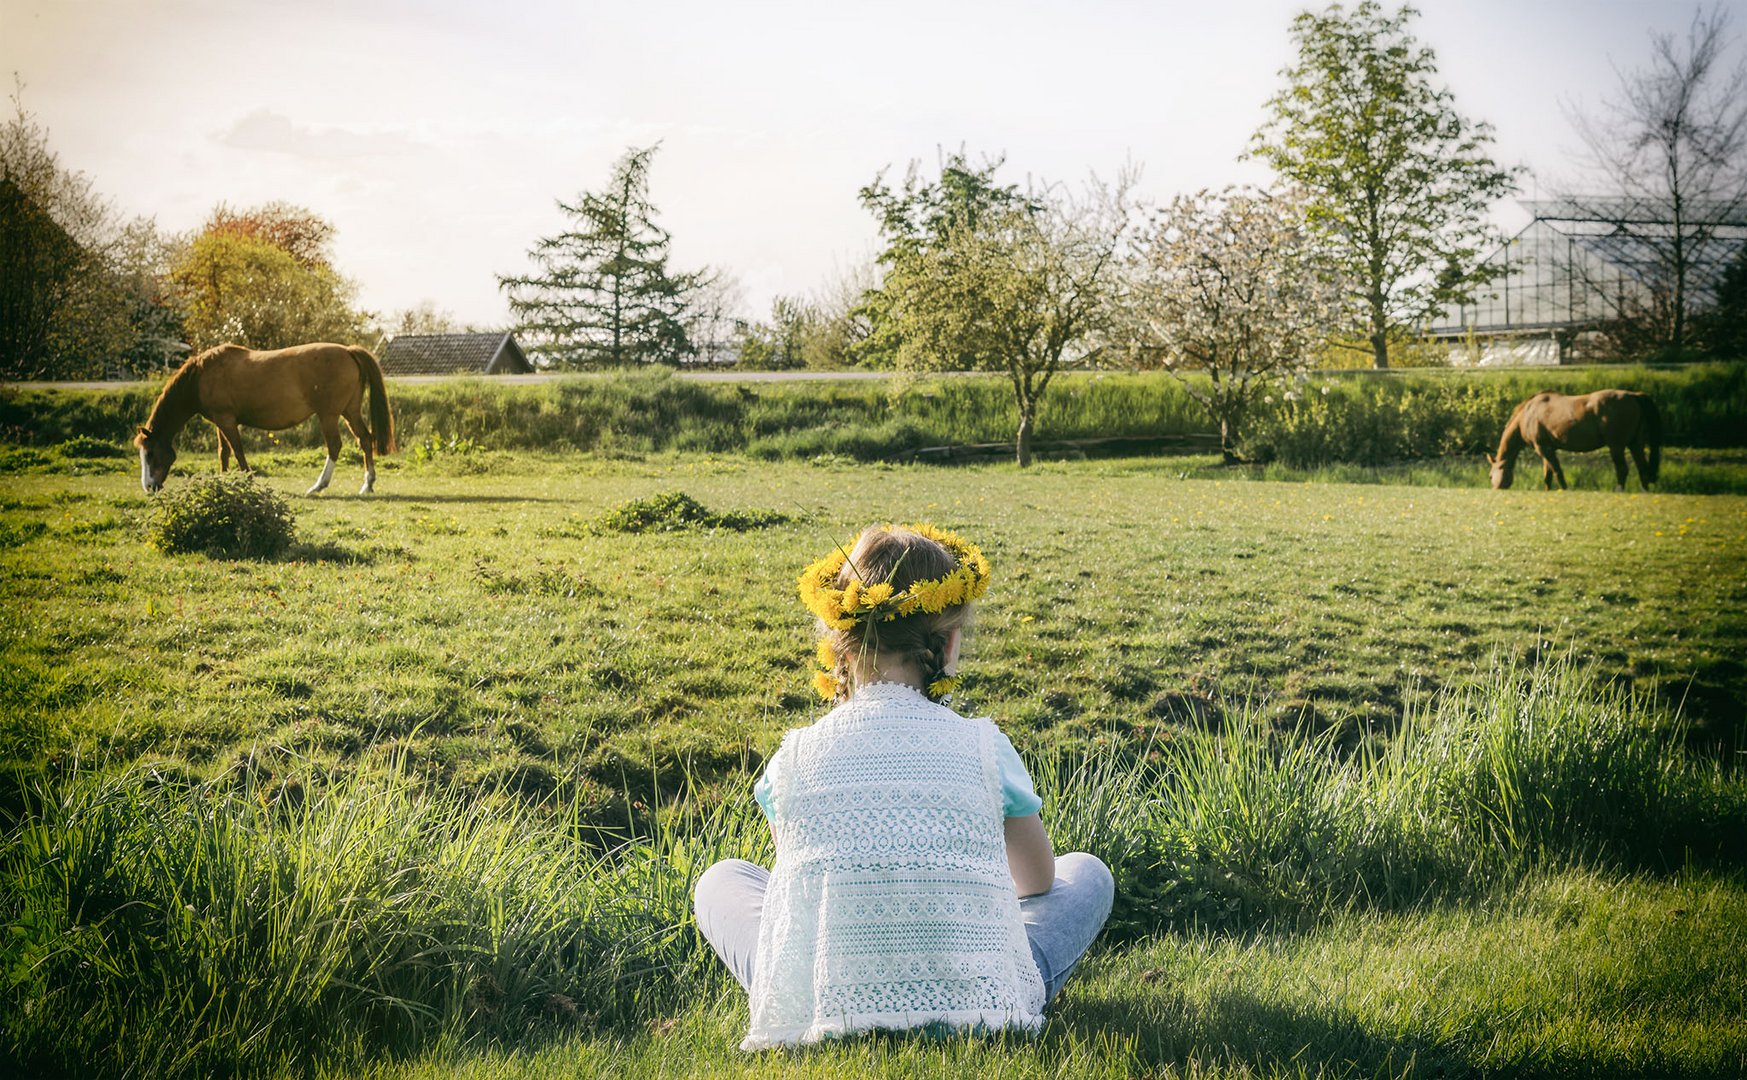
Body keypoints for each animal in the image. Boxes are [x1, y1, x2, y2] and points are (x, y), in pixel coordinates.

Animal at [135, 342, 396, 492]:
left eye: (150, 454)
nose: (149, 487)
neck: (201, 375)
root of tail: (348, 351)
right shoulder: (220, 422)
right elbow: (224, 452)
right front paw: (224, 481)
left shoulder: (227, 420)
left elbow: (237, 451)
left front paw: (246, 481)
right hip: (349, 411)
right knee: (365, 439)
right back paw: (367, 484)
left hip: (329, 415)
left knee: (334, 446)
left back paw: (319, 485)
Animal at [1488, 384, 1663, 489]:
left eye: (1490, 475)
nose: (1496, 489)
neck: (1528, 414)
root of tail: (1633, 395)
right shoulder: (1548, 448)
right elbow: (1547, 475)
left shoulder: (1543, 448)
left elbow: (1557, 471)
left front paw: (1564, 490)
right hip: (1635, 444)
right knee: (1642, 469)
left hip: (1616, 446)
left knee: (1622, 469)